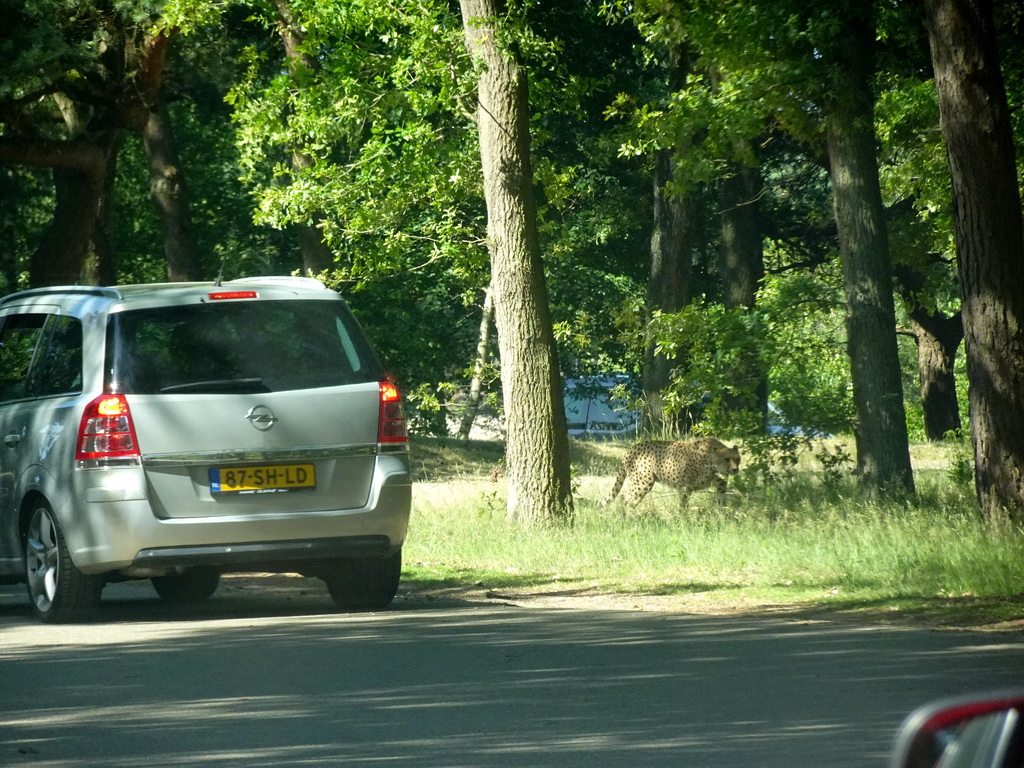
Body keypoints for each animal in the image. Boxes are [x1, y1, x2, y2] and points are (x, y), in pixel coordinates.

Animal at [602, 438, 741, 512]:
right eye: (726, 459)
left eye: (738, 459)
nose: (735, 469)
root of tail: (630, 449)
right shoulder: (685, 487)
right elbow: (683, 506)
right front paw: (684, 522)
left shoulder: (721, 483)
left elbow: (721, 501)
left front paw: (721, 516)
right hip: (643, 483)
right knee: (624, 497)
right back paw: (626, 518)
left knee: (629, 500)